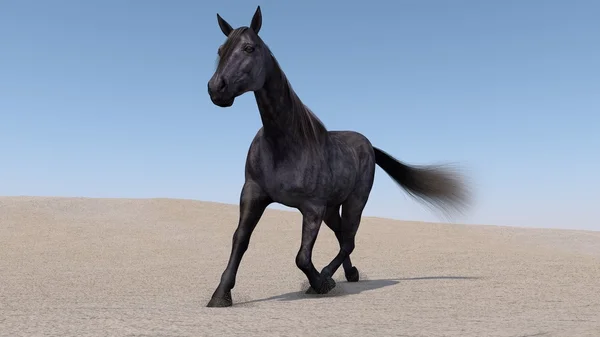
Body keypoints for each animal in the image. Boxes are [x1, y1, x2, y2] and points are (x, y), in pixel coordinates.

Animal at [206, 5, 468, 308]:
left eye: (249, 48)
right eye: (220, 49)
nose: (216, 88)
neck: (284, 143)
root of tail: (368, 144)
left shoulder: (312, 208)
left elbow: (302, 257)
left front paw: (319, 283)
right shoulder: (253, 193)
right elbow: (241, 239)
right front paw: (220, 295)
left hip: (354, 201)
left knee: (348, 239)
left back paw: (329, 278)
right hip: (333, 208)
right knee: (343, 235)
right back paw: (350, 274)